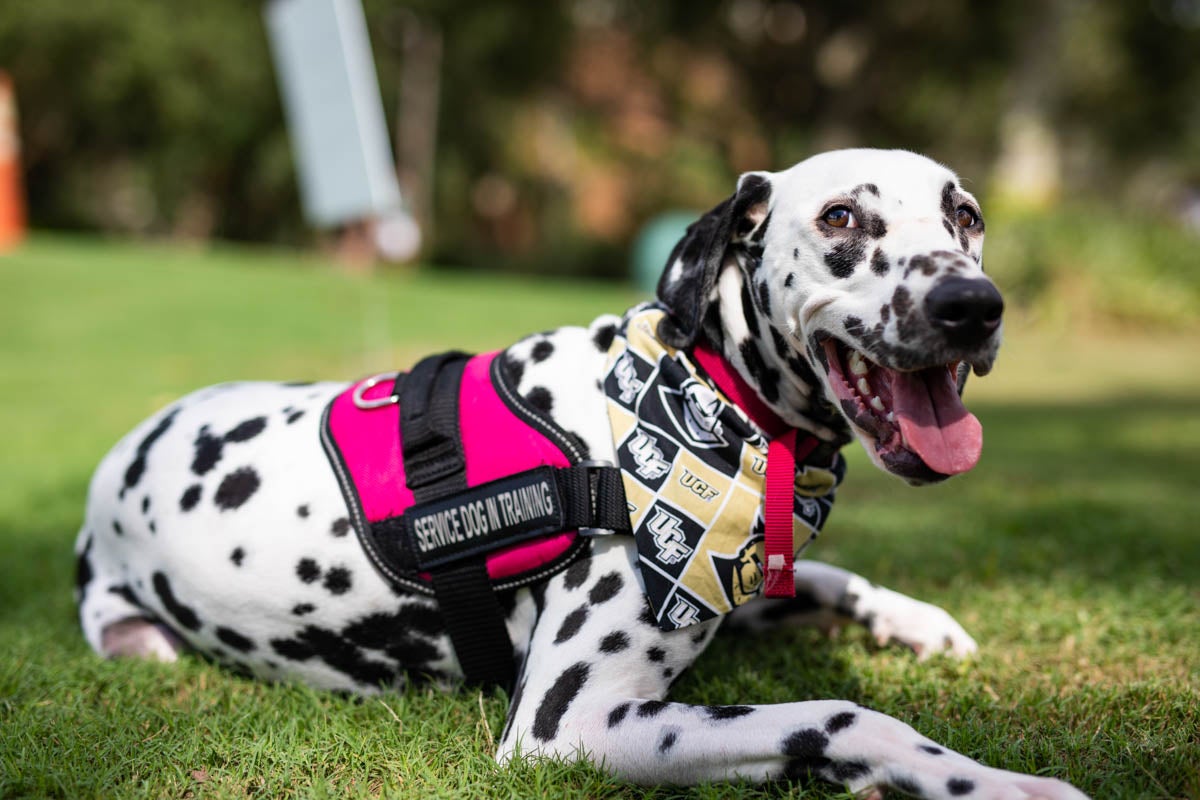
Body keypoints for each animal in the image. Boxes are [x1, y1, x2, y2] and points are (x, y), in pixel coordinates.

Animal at [72, 146, 1089, 796]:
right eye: (842, 215)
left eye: (967, 216)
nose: (974, 305)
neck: (694, 389)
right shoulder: (572, 724)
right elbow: (845, 716)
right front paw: (1001, 784)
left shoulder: (737, 580)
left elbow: (833, 576)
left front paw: (917, 620)